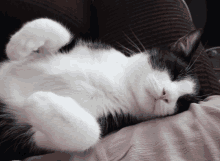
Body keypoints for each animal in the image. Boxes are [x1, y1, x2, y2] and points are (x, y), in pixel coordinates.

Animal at [0, 17, 201, 155]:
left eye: (181, 102)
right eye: (175, 72)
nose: (167, 95)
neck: (122, 85)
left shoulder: (37, 141)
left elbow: (90, 134)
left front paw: (40, 99)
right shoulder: (84, 47)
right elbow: (56, 28)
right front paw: (16, 46)